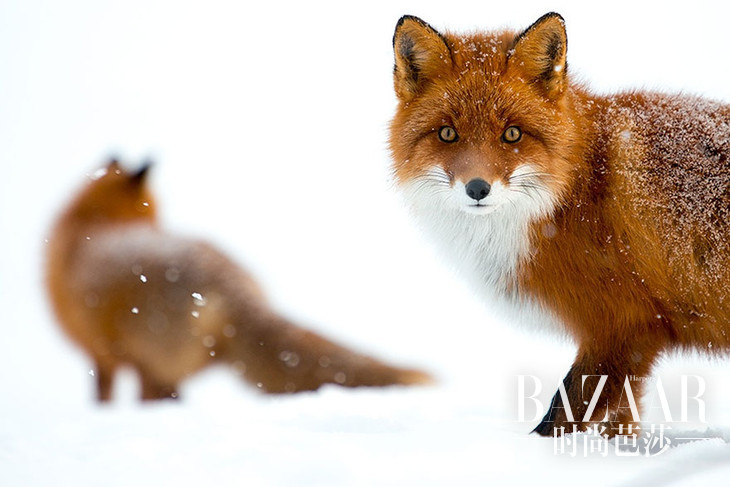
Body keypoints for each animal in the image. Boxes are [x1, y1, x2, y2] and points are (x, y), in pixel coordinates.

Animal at [390, 13, 728, 436]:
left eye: (512, 133)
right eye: (447, 133)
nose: (477, 188)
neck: (573, 190)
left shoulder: (623, 328)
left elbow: (561, 413)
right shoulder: (629, 343)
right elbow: (619, 420)